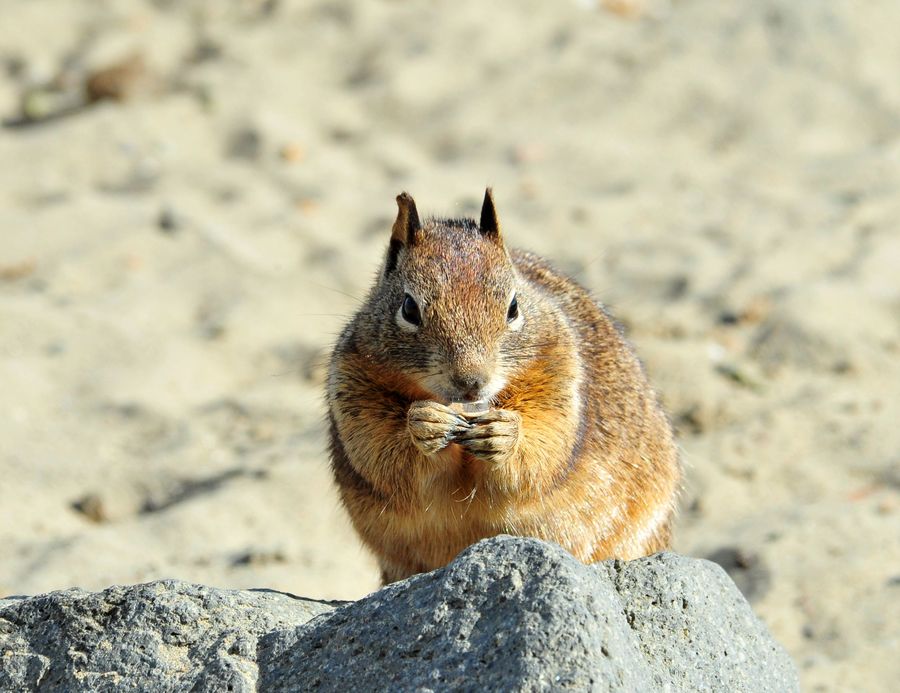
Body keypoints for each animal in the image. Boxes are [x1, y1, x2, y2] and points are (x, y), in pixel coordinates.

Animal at [326, 189, 680, 584]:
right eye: (408, 308)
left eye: (513, 307)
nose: (471, 381)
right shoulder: (355, 390)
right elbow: (384, 454)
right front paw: (425, 424)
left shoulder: (559, 380)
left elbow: (543, 446)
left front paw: (503, 433)